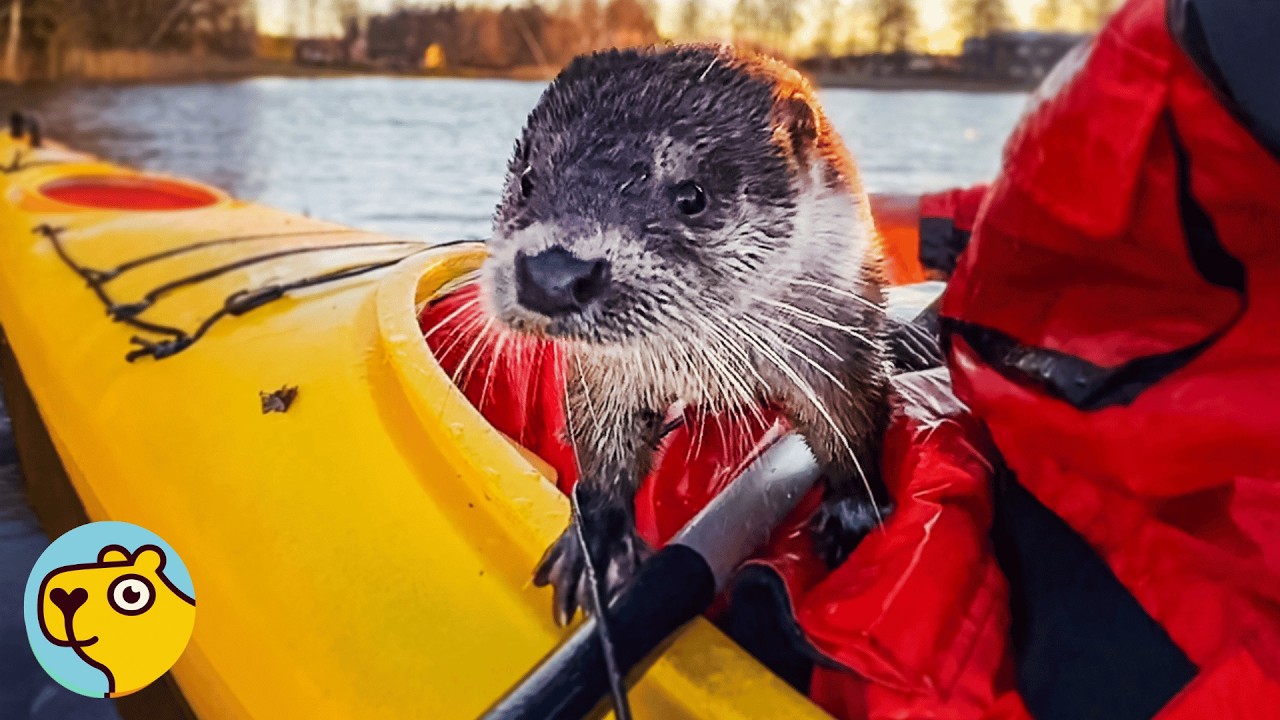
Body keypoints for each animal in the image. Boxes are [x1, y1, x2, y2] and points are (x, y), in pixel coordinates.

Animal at [481, 45, 893, 625]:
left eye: (692, 196)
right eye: (528, 179)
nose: (554, 273)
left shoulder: (836, 336)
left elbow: (851, 423)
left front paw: (854, 511)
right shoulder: (608, 373)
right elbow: (602, 442)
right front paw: (598, 540)